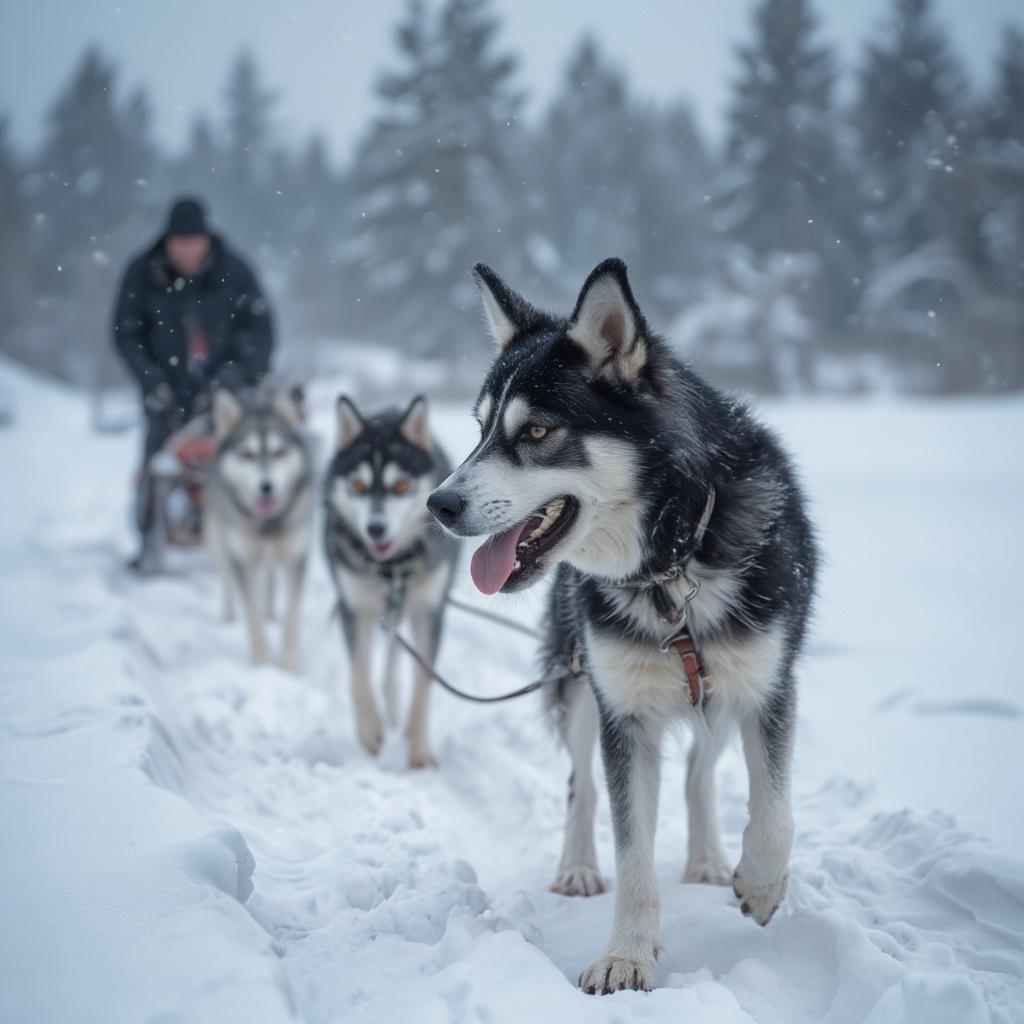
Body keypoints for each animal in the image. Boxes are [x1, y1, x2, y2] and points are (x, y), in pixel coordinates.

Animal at [201, 391, 309, 671]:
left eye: (279, 452)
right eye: (247, 454)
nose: (266, 486)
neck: (267, 525)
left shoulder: (296, 556)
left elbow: (292, 616)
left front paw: (288, 668)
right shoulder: (243, 557)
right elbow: (252, 615)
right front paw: (261, 665)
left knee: (269, 582)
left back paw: (270, 612)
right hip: (219, 542)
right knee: (228, 581)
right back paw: (230, 615)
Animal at [325, 395, 458, 765]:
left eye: (400, 486)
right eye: (358, 486)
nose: (375, 528)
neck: (392, 567)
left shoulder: (429, 609)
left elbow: (424, 681)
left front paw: (419, 749)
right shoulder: (354, 607)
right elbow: (358, 675)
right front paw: (369, 731)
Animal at [428, 260, 819, 995]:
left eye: (537, 432)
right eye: (480, 428)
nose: (437, 503)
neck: (676, 558)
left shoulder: (768, 687)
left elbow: (775, 812)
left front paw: (759, 883)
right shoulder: (624, 713)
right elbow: (631, 847)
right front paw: (627, 957)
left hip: (715, 695)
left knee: (699, 773)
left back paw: (709, 859)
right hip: (581, 685)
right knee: (580, 785)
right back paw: (579, 867)